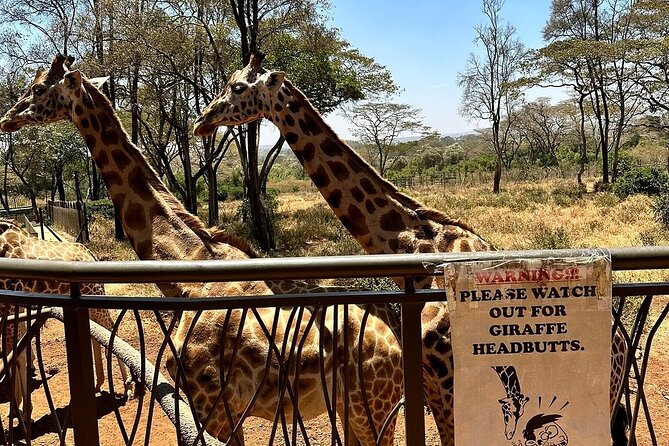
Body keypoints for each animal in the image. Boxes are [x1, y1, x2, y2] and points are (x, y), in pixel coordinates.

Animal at [0, 218, 132, 422]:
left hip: (94, 295)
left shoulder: (9, 307)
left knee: (111, 332)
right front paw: (17, 410)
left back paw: (128, 387)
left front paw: (22, 411)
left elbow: (15, 356)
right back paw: (98, 384)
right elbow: (17, 354)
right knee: (97, 334)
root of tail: (91, 255)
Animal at [193, 52, 629, 445]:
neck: (424, 244)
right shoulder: (433, 386)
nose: (202, 120)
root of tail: (623, 346)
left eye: (237, 87)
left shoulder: (451, 384)